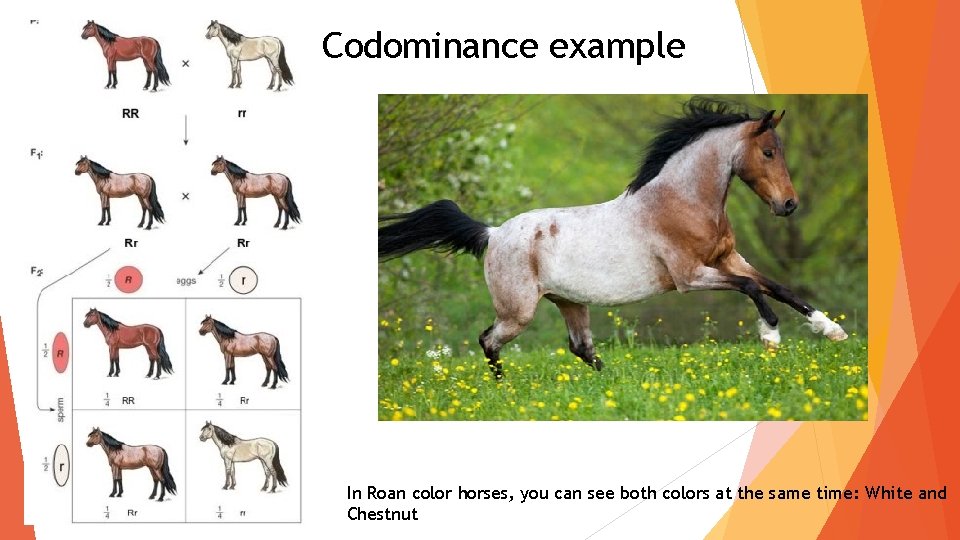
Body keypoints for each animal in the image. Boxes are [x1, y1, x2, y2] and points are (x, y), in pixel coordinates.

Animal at [378, 98, 849, 380]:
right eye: (768, 152)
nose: (789, 205)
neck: (680, 201)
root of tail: (492, 233)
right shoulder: (690, 276)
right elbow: (753, 288)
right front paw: (771, 338)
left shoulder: (729, 259)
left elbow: (779, 287)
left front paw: (832, 331)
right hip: (519, 312)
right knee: (489, 341)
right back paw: (502, 390)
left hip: (569, 302)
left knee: (580, 347)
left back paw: (609, 385)